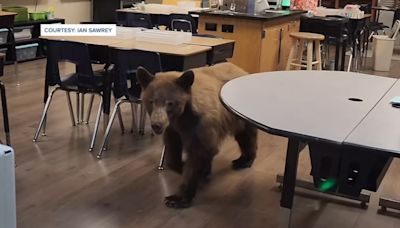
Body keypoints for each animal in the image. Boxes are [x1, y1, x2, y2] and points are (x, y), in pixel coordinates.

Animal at [137, 62, 256, 208]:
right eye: (151, 101)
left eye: (170, 103)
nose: (157, 125)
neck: (182, 116)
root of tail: (241, 70)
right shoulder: (173, 129)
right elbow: (172, 153)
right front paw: (186, 167)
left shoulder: (200, 125)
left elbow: (198, 154)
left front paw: (177, 198)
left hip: (239, 116)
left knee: (246, 136)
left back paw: (244, 161)